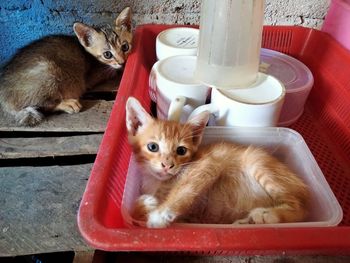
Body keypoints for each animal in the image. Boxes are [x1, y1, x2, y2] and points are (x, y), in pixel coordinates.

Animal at [0, 6, 133, 126]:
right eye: (107, 54)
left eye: (125, 47)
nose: (122, 62)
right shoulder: (94, 74)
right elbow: (113, 70)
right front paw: (121, 69)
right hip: (48, 70)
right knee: (43, 105)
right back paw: (66, 103)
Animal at [125, 98, 308, 228]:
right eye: (153, 147)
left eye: (181, 151)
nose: (167, 165)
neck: (159, 182)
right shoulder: (191, 219)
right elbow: (132, 214)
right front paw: (143, 205)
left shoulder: (207, 165)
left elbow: (183, 190)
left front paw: (160, 215)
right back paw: (247, 220)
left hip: (258, 162)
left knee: (300, 208)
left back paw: (267, 215)